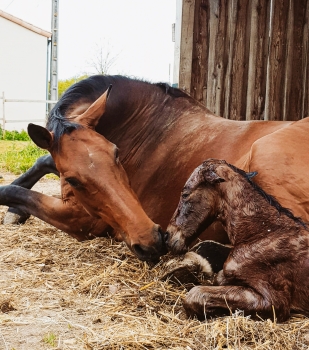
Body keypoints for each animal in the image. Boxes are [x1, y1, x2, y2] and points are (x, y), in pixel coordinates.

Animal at [1, 75, 308, 262]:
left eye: (117, 154)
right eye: (73, 179)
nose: (152, 239)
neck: (145, 127)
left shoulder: (82, 221)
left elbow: (12, 191)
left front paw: (13, 207)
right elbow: (44, 162)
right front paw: (16, 212)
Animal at [166, 159, 308, 322]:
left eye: (185, 194)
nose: (168, 236)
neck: (263, 233)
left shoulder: (274, 303)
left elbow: (195, 295)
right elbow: (219, 279)